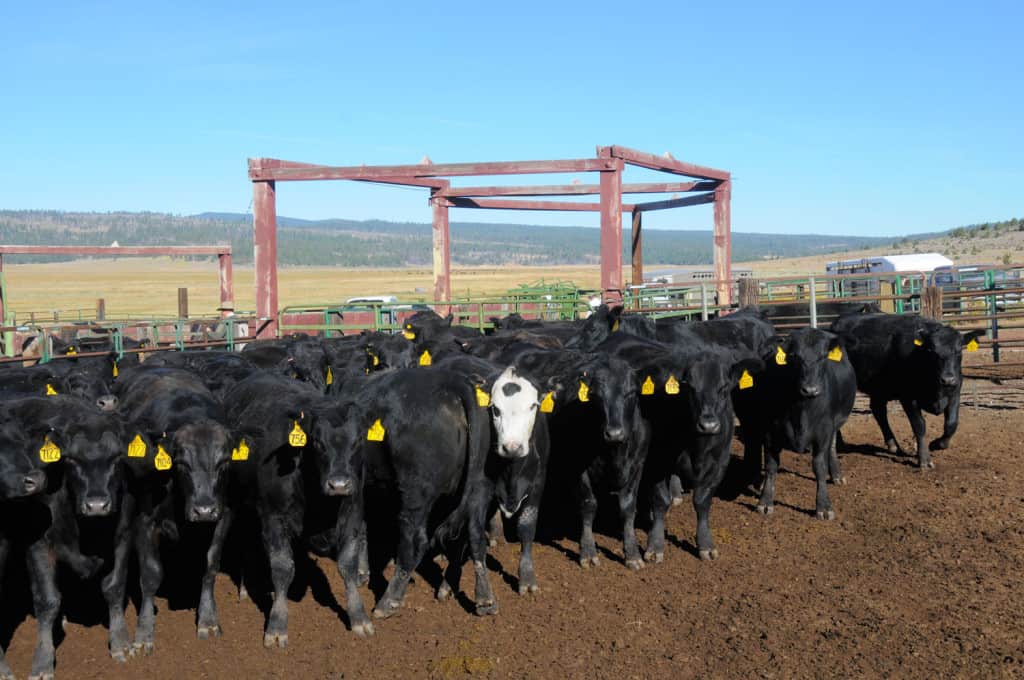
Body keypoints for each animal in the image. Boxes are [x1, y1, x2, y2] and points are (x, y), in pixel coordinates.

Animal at [831, 313, 983, 466]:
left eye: (958, 351)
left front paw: (937, 444)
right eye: (932, 351)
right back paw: (840, 443)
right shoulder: (908, 398)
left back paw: (894, 446)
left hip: (879, 389)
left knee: (879, 411)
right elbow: (919, 425)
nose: (947, 379)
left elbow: (952, 424)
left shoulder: (955, 393)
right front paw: (924, 459)